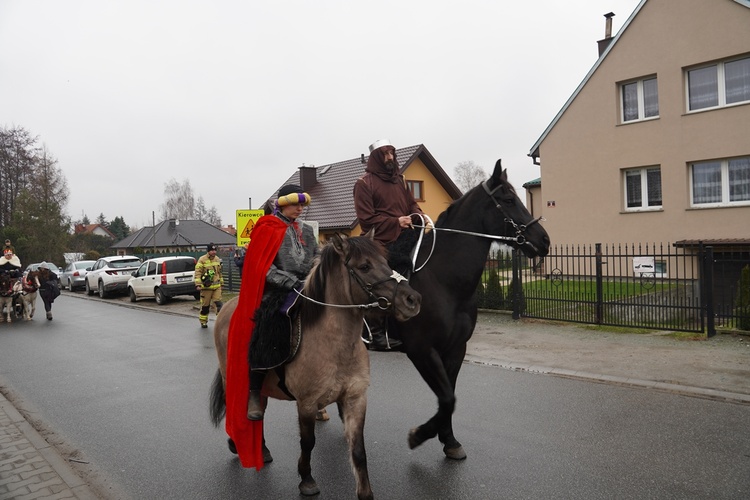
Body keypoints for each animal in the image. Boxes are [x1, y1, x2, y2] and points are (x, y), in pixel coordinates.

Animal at [400, 161, 552, 460]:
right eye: (508, 200)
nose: (544, 240)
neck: (442, 281)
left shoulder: (456, 349)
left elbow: (449, 397)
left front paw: (449, 440)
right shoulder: (421, 350)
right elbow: (448, 398)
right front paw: (419, 434)